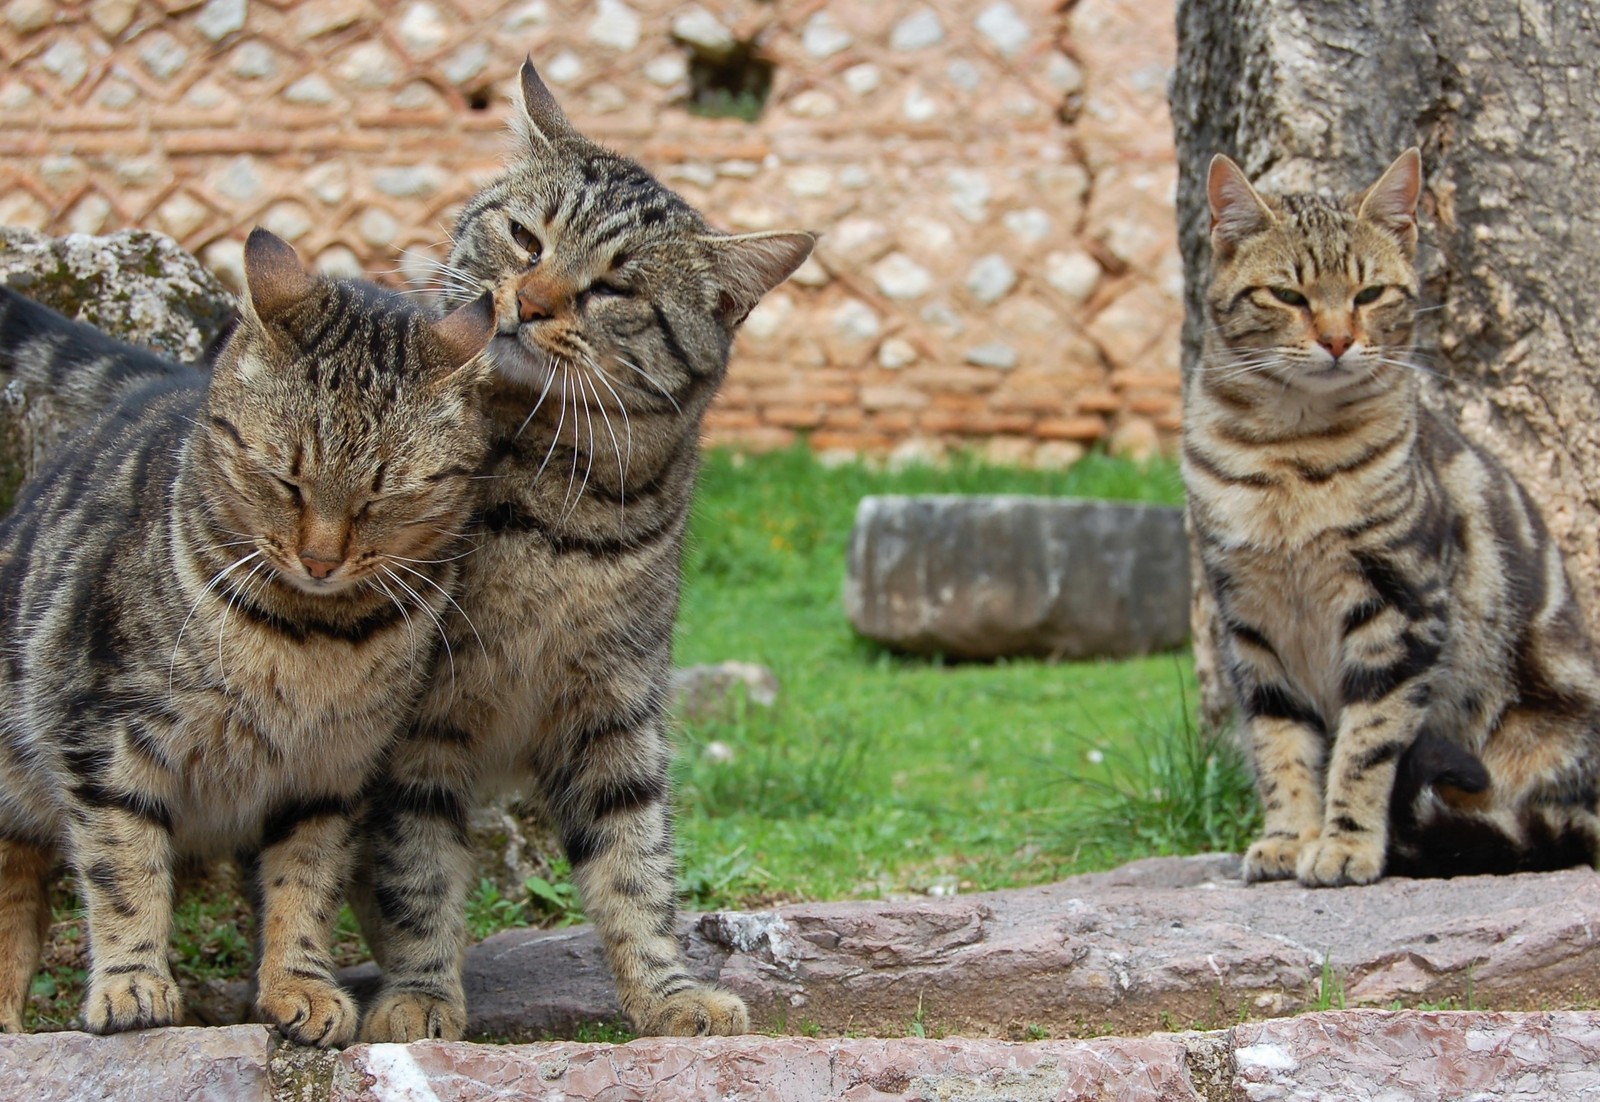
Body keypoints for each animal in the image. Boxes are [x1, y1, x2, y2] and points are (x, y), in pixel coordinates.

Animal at [0, 225, 492, 1042]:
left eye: (381, 497)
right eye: (285, 479)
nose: (321, 558)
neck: (312, 636)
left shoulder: (330, 773)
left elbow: (306, 883)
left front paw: (301, 984)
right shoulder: (104, 737)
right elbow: (123, 868)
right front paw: (134, 983)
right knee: (17, 885)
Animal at [348, 59, 812, 1042]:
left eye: (614, 290)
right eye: (525, 238)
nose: (525, 304)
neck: (551, 505)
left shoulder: (617, 703)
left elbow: (636, 862)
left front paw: (666, 993)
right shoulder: (408, 722)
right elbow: (413, 867)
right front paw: (419, 993)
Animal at [1190, 147, 1600, 882]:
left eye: (1369, 294)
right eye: (1288, 296)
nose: (1336, 340)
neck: (1290, 455)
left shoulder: (1400, 605)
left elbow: (1367, 744)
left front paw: (1346, 843)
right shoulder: (1250, 620)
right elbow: (1279, 744)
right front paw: (1289, 836)